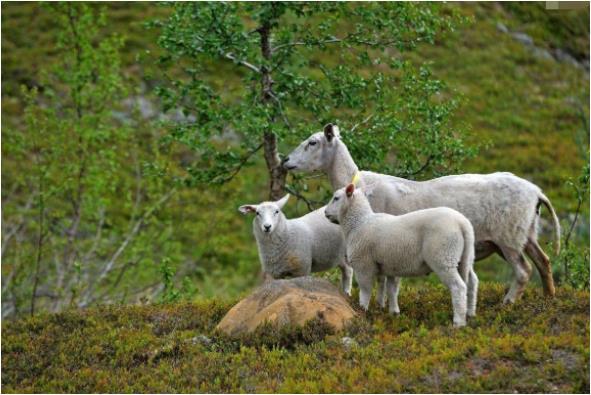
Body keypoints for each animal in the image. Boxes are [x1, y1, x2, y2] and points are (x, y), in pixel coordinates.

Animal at [284, 125, 560, 304]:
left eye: (313, 142)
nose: (285, 160)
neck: (360, 185)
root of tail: (536, 191)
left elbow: (385, 282)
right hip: (526, 233)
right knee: (544, 262)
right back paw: (549, 298)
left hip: (509, 237)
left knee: (524, 271)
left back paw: (508, 303)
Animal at [326, 183, 478, 328]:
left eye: (336, 198)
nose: (325, 212)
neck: (358, 223)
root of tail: (462, 223)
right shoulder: (391, 266)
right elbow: (392, 290)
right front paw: (394, 313)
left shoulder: (364, 265)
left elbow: (365, 291)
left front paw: (363, 310)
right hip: (465, 256)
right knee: (471, 282)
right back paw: (470, 313)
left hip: (443, 257)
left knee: (458, 287)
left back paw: (458, 322)